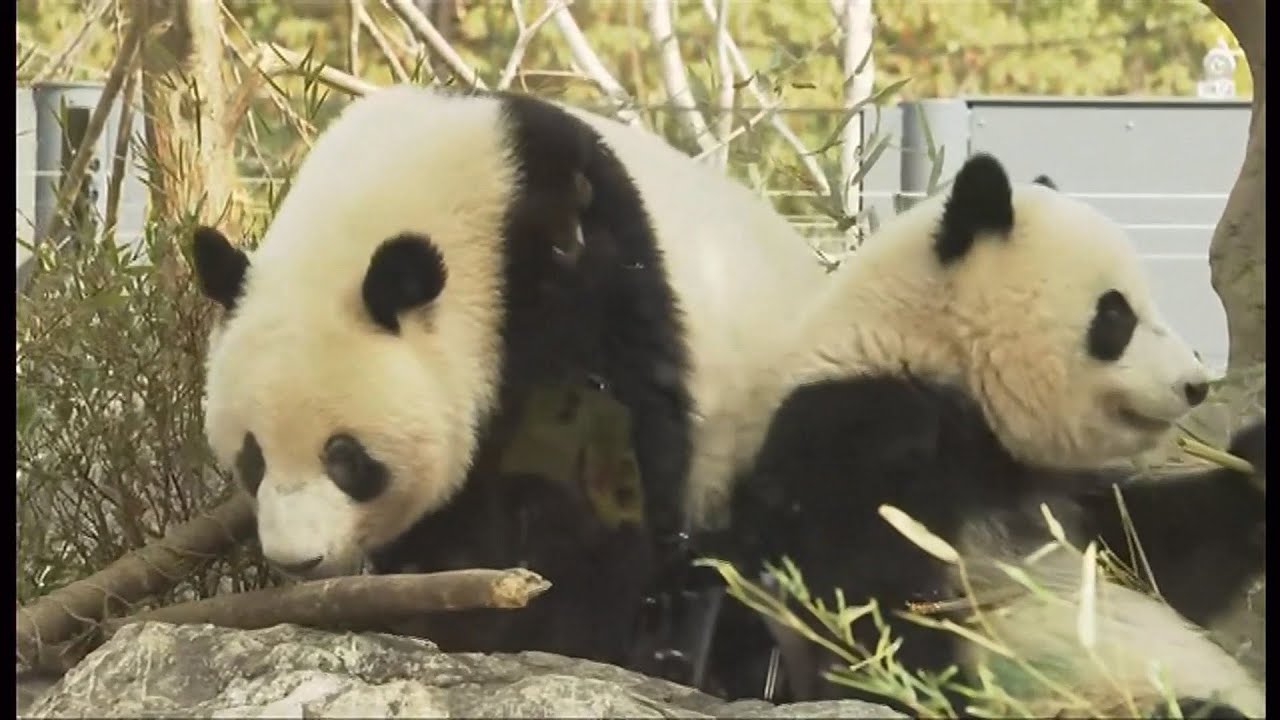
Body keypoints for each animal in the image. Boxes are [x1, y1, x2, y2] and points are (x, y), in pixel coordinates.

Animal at [188, 84, 825, 682]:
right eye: (252, 459)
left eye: (345, 457)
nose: (297, 560)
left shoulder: (574, 277)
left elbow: (589, 479)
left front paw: (531, 633)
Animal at [702, 153, 1266, 717]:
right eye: (1115, 315)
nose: (1195, 385)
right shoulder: (857, 430)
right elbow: (871, 604)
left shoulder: (1044, 485)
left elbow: (1148, 555)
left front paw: (1255, 465)